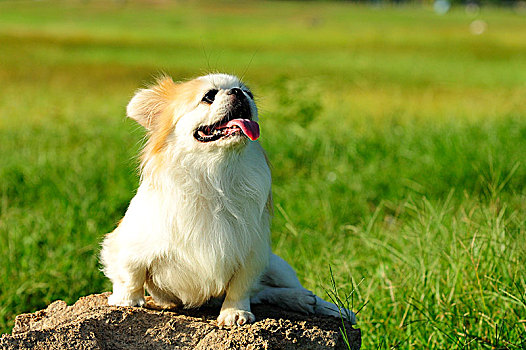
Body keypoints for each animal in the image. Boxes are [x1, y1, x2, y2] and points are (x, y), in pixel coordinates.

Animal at [101, 72, 356, 326]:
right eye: (209, 96)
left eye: (249, 93)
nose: (238, 92)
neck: (215, 175)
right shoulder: (126, 245)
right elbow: (130, 274)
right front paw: (126, 300)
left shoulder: (252, 252)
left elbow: (240, 287)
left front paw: (235, 312)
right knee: (262, 292)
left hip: (278, 266)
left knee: (267, 289)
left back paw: (328, 307)